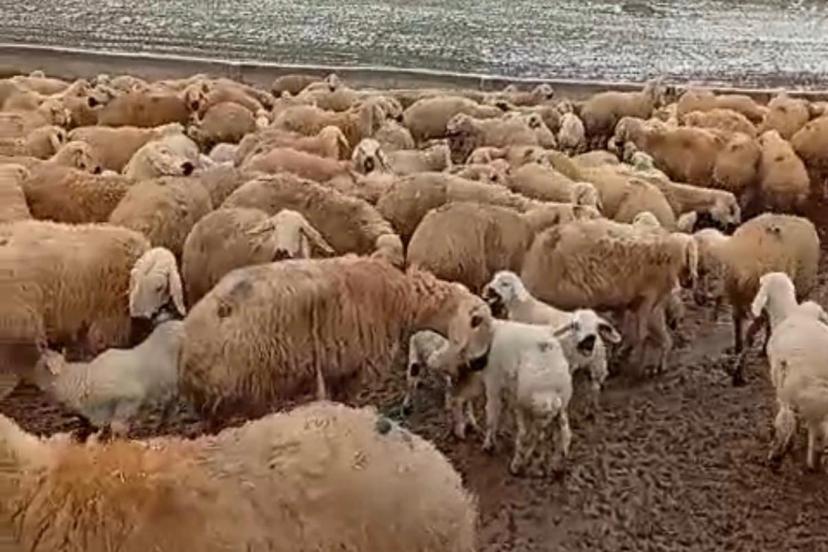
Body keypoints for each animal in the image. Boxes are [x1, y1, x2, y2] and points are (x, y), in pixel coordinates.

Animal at [179, 255, 494, 420]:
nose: (481, 364)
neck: (402, 299)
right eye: (478, 322)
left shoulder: (335, 369)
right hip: (243, 388)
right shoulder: (355, 368)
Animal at [521, 218, 698, 374]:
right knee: (652, 336)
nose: (690, 281)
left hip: (648, 302)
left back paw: (640, 364)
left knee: (644, 335)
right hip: (646, 303)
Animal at [692, 213, 819, 385]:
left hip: (795, 290)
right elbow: (743, 326)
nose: (697, 298)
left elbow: (745, 330)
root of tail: (800, 219)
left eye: (702, 271)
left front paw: (739, 363)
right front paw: (739, 354)